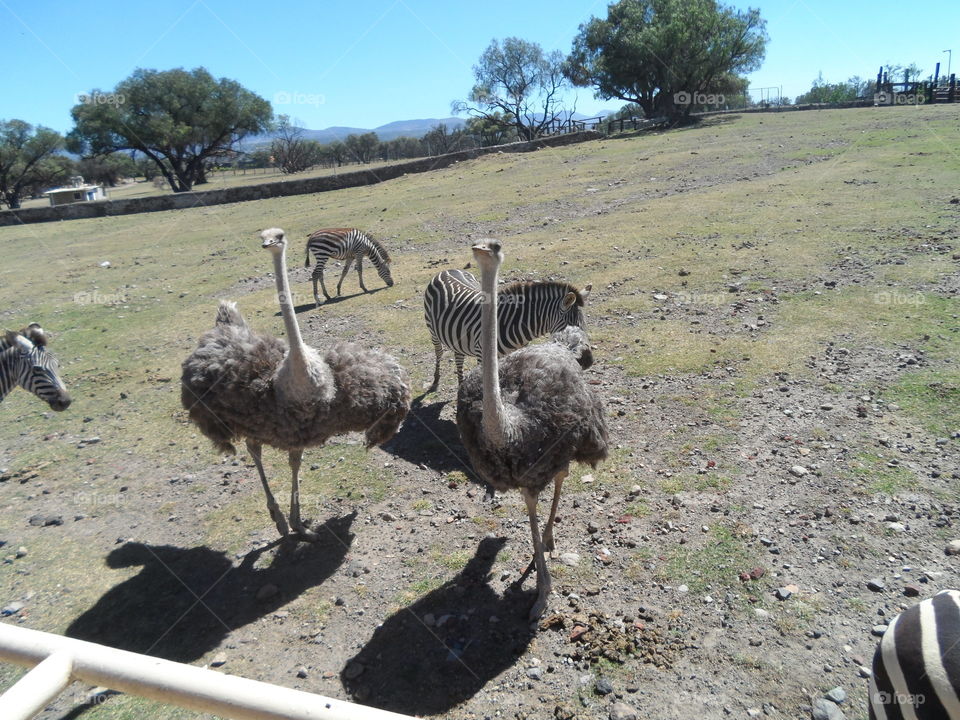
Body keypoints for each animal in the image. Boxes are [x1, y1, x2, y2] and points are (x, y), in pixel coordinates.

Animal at [423, 268, 592, 391]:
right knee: (439, 352)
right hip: (433, 331)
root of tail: (446, 270)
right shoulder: (482, 355)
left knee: (459, 357)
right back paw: (436, 380)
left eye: (583, 324)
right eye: (571, 325)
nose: (588, 360)